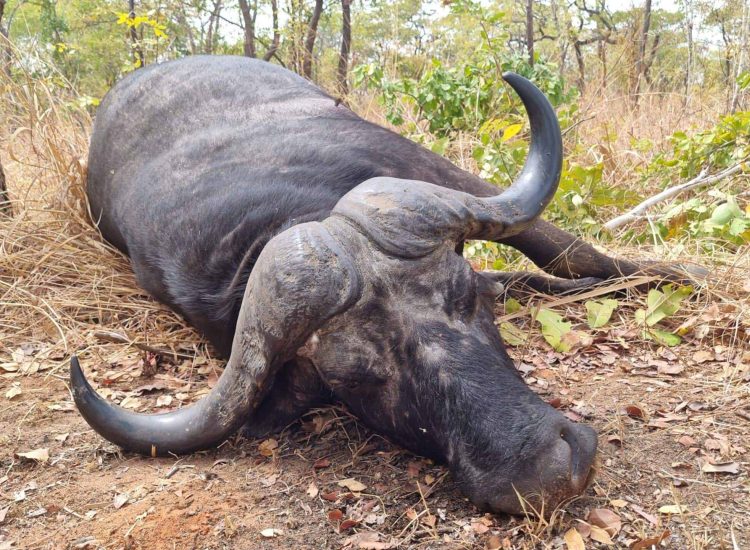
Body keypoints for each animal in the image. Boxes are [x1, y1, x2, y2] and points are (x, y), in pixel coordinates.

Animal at [71, 56, 670, 514]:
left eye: (464, 297)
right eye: (354, 379)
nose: (546, 468)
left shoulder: (449, 177)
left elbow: (570, 252)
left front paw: (671, 274)